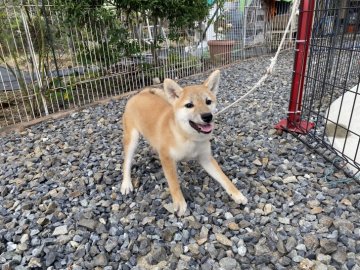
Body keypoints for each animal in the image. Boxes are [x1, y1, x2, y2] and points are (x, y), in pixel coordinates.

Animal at [121, 70, 248, 216]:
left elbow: (224, 178)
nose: (207, 116)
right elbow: (174, 183)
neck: (188, 137)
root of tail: (140, 94)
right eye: (189, 105)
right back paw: (126, 184)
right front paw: (179, 203)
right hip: (132, 139)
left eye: (208, 101)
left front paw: (237, 194)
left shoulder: (206, 158)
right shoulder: (167, 159)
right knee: (126, 163)